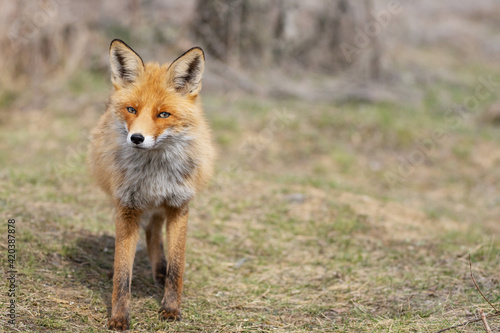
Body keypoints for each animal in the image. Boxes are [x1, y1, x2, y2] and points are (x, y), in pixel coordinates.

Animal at [88, 39, 215, 330]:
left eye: (163, 114)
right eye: (132, 110)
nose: (136, 138)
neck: (154, 174)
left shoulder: (179, 206)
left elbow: (177, 266)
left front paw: (171, 309)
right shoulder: (127, 207)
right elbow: (123, 273)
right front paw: (119, 317)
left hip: (161, 207)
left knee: (153, 233)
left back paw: (159, 271)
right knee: (146, 235)